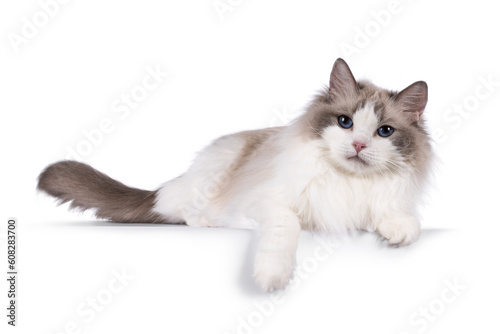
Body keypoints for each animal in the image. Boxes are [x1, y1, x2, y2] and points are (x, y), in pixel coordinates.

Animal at [38, 58, 434, 290]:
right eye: (345, 122)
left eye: (384, 132)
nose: (358, 145)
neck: (348, 182)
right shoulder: (270, 204)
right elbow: (286, 229)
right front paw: (272, 277)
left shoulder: (384, 204)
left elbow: (405, 223)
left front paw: (397, 234)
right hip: (215, 171)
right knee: (182, 212)